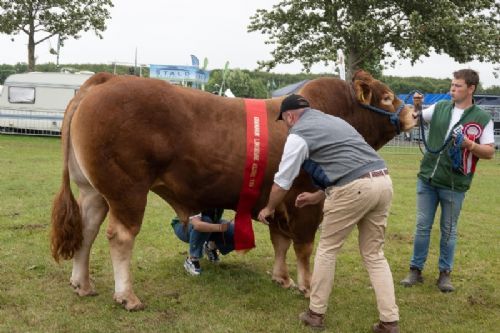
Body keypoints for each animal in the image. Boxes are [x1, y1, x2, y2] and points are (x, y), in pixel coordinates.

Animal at [51, 69, 418, 308]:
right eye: (387, 97)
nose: (415, 113)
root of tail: (108, 79)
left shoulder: (277, 200)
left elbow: (280, 241)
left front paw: (282, 278)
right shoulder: (304, 201)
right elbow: (303, 246)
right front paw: (306, 285)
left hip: (94, 191)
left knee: (87, 230)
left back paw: (82, 284)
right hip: (127, 190)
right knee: (120, 236)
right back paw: (127, 296)